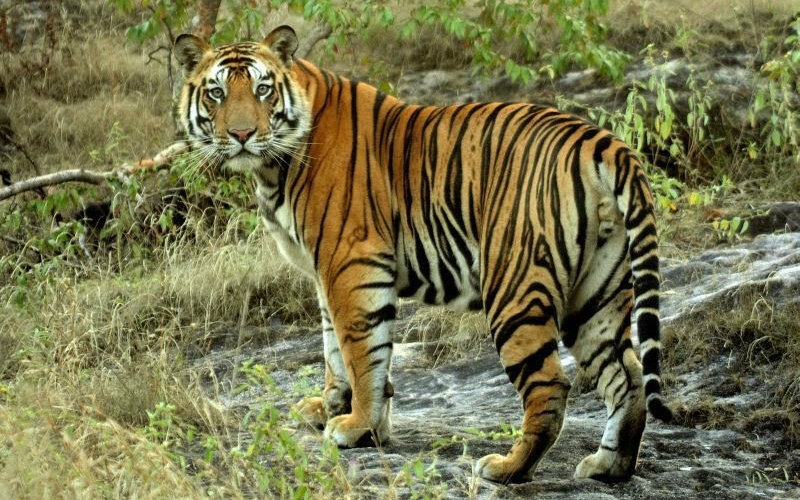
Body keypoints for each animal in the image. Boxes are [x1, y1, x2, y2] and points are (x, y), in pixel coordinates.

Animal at [173, 25, 673, 484]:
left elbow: (361, 350)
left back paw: (506, 468)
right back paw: (609, 465)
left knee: (551, 384)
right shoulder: (324, 271)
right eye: (217, 93)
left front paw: (356, 427)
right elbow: (334, 347)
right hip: (596, 293)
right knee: (627, 375)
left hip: (514, 287)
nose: (242, 134)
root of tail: (605, 142)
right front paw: (331, 408)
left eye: (262, 89)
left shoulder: (352, 263)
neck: (274, 166)